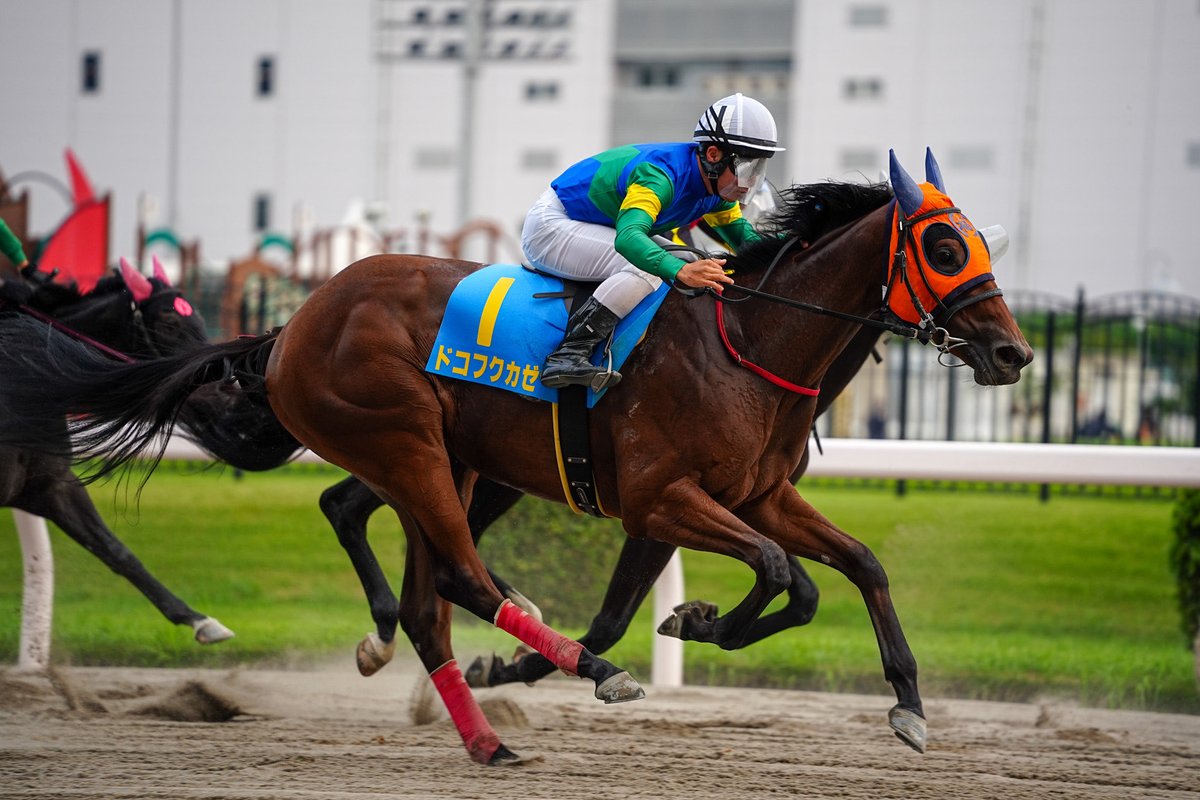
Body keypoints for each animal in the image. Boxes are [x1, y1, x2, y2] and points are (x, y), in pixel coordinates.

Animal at [0, 149, 1032, 764]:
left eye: (981, 241)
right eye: (944, 245)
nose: (1014, 352)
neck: (751, 343)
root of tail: (293, 324)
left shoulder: (756, 495)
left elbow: (856, 566)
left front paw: (908, 704)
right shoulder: (661, 499)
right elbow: (786, 577)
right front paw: (699, 620)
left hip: (451, 464)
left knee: (423, 590)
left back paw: (485, 721)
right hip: (408, 442)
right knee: (444, 570)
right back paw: (546, 670)